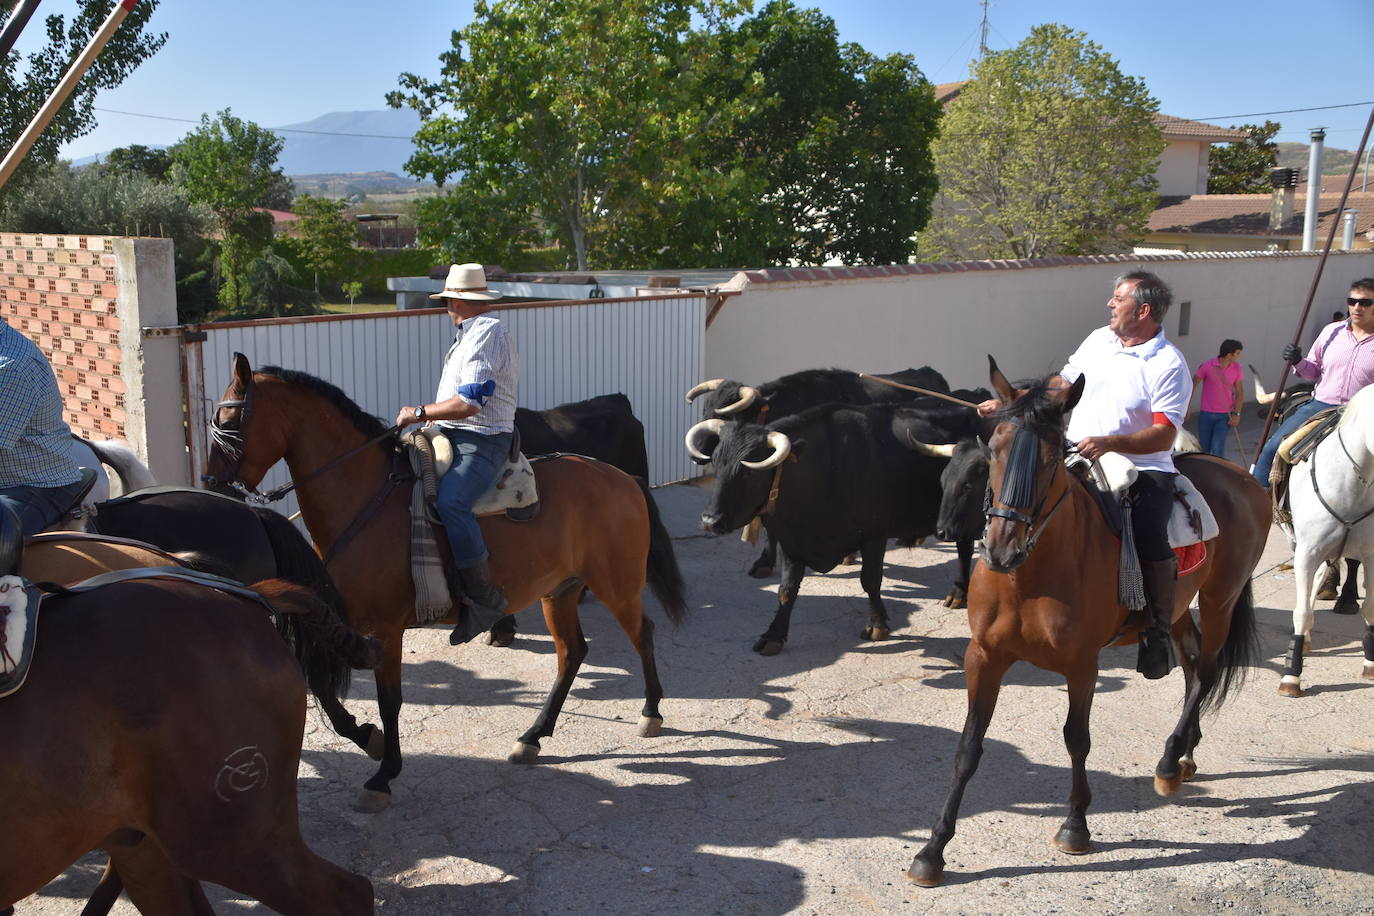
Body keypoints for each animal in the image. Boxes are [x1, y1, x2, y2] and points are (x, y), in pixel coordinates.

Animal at [201, 354, 687, 813]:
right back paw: (533, 735)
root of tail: (622, 478)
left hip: (616, 584)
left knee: (642, 634)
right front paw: (368, 739)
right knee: (572, 654)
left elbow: (390, 700)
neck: (368, 498)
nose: (210, 487)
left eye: (229, 422)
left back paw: (650, 711)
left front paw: (383, 775)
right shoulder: (340, 620)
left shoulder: (385, 629)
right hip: (560, 591)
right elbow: (320, 687)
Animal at [687, 398, 989, 656]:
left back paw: (959, 593)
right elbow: (786, 590)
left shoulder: (874, 536)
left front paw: (877, 625)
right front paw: (773, 635)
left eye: (750, 472)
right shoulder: (791, 540)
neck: (826, 466)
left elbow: (871, 581)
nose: (710, 521)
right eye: (717, 464)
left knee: (964, 550)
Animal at [906, 359, 1269, 889]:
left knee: (1206, 669)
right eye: (994, 451)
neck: (1029, 574)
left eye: (1050, 459)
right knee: (1192, 662)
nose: (1000, 549)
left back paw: (1169, 762)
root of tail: (1243, 476)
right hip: (1181, 606)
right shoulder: (984, 657)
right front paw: (933, 850)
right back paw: (1184, 753)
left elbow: (1076, 740)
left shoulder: (1082, 666)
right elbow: (969, 747)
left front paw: (1075, 826)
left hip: (1221, 596)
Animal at [1275, 384, 1374, 694]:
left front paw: (1370, 663)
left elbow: (1370, 608)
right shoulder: (1306, 552)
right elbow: (1301, 612)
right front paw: (1291, 676)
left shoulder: (1371, 555)